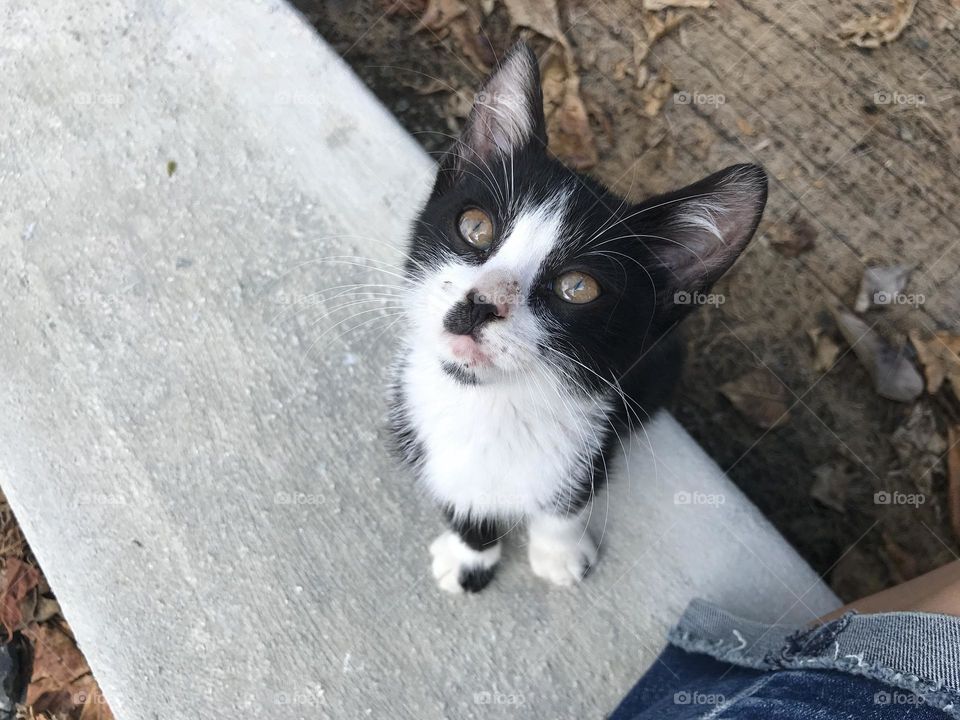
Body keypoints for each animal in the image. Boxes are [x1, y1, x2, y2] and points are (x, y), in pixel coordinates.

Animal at [386, 42, 768, 592]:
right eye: (475, 227)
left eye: (578, 288)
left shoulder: (593, 432)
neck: (490, 407)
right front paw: (470, 553)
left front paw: (558, 551)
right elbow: (463, 497)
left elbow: (570, 496)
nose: (481, 303)